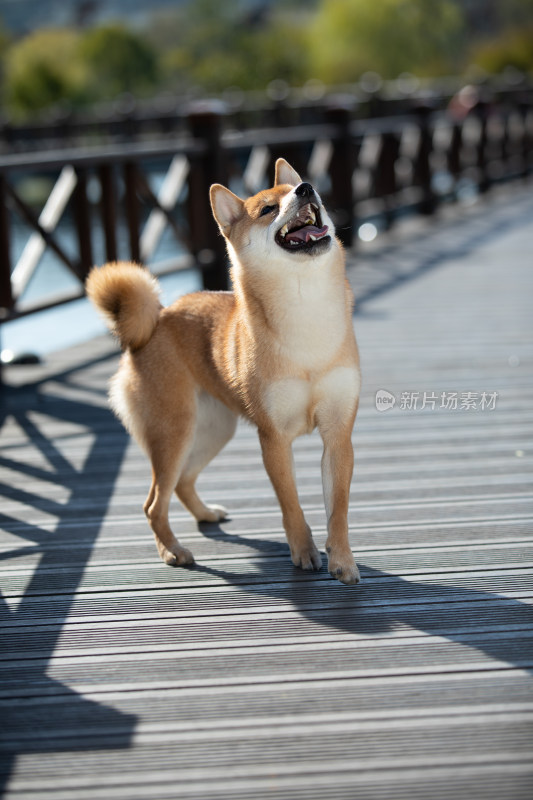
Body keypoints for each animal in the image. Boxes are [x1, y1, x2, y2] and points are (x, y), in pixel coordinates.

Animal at [87, 161, 362, 588]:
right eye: (268, 209)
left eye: (308, 189)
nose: (305, 188)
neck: (306, 310)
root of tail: (156, 320)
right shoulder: (274, 439)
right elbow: (291, 505)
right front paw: (303, 552)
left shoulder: (337, 434)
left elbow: (339, 510)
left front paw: (343, 561)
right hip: (173, 432)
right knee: (154, 503)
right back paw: (173, 551)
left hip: (213, 429)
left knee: (183, 483)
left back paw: (205, 515)